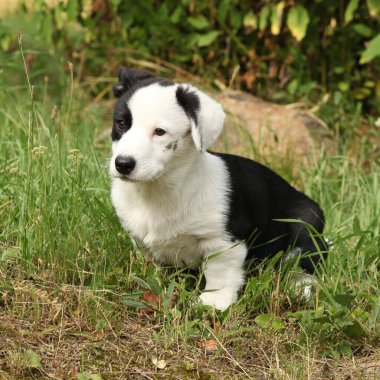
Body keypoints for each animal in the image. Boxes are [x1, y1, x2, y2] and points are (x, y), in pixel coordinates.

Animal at [108, 67, 326, 312]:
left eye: (160, 132)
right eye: (121, 123)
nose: (123, 164)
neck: (160, 189)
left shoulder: (223, 241)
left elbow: (220, 272)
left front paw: (214, 302)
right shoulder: (140, 240)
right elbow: (151, 264)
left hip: (306, 222)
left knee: (308, 261)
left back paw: (300, 287)